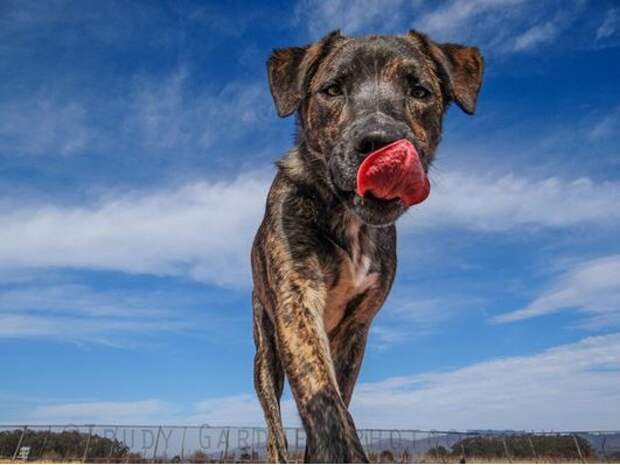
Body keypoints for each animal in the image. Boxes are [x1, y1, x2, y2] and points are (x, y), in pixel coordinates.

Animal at [252, 29, 484, 460]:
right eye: (331, 89)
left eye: (420, 91)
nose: (379, 143)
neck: (349, 220)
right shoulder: (297, 303)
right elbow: (323, 400)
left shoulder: (355, 331)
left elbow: (338, 400)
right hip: (265, 350)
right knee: (274, 425)